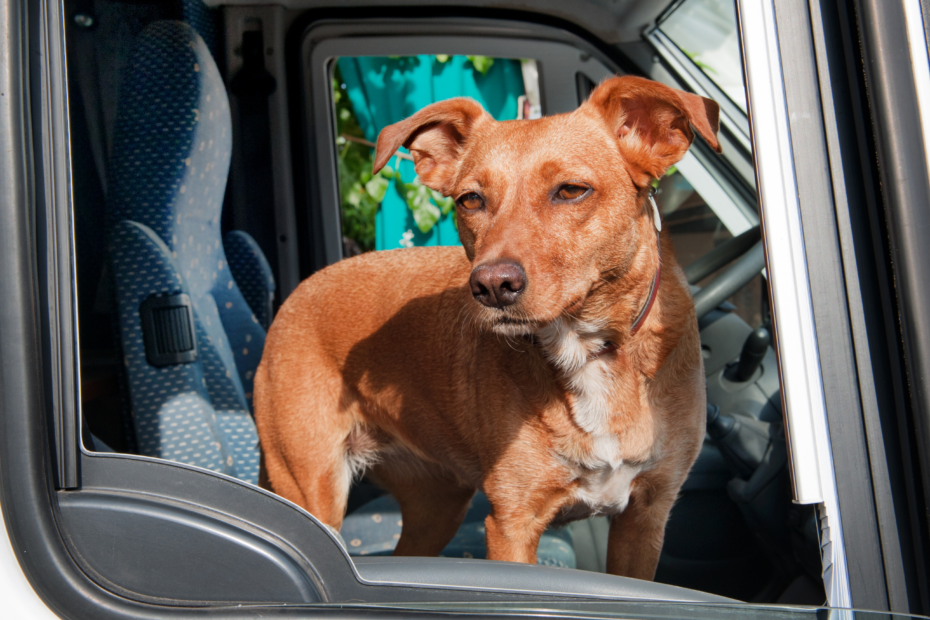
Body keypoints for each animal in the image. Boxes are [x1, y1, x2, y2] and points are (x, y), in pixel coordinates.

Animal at [254, 75, 716, 580]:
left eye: (571, 191)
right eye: (470, 200)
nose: (493, 286)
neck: (589, 350)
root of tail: (297, 292)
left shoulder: (646, 517)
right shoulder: (512, 524)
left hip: (438, 503)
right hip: (310, 491)